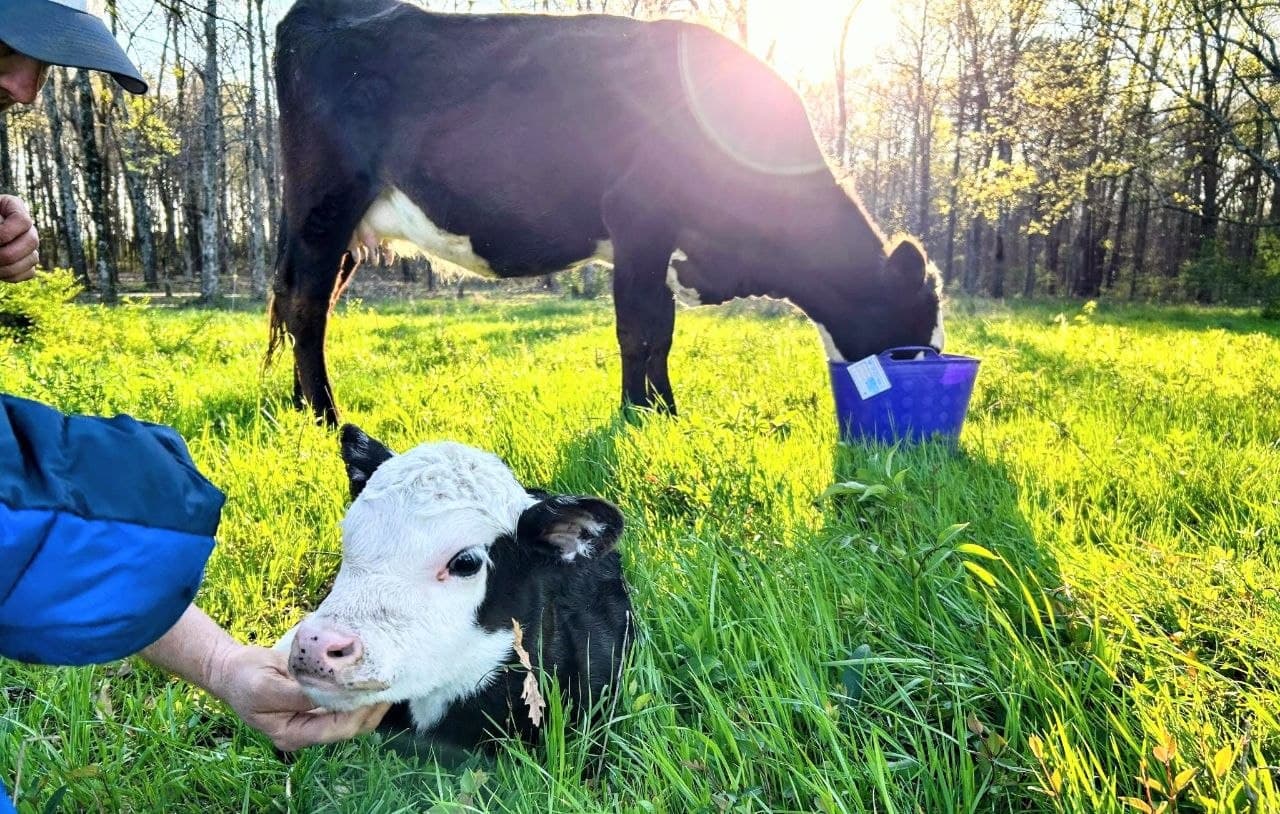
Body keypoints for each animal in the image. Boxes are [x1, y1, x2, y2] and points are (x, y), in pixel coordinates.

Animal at [268, 0, 946, 427]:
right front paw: (636, 415)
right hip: (323, 204)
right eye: (920, 331)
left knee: (306, 303)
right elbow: (637, 329)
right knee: (306, 308)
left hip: (338, 228)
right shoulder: (638, 220)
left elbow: (661, 332)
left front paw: (665, 413)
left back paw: (299, 406)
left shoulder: (661, 245)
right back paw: (327, 416)